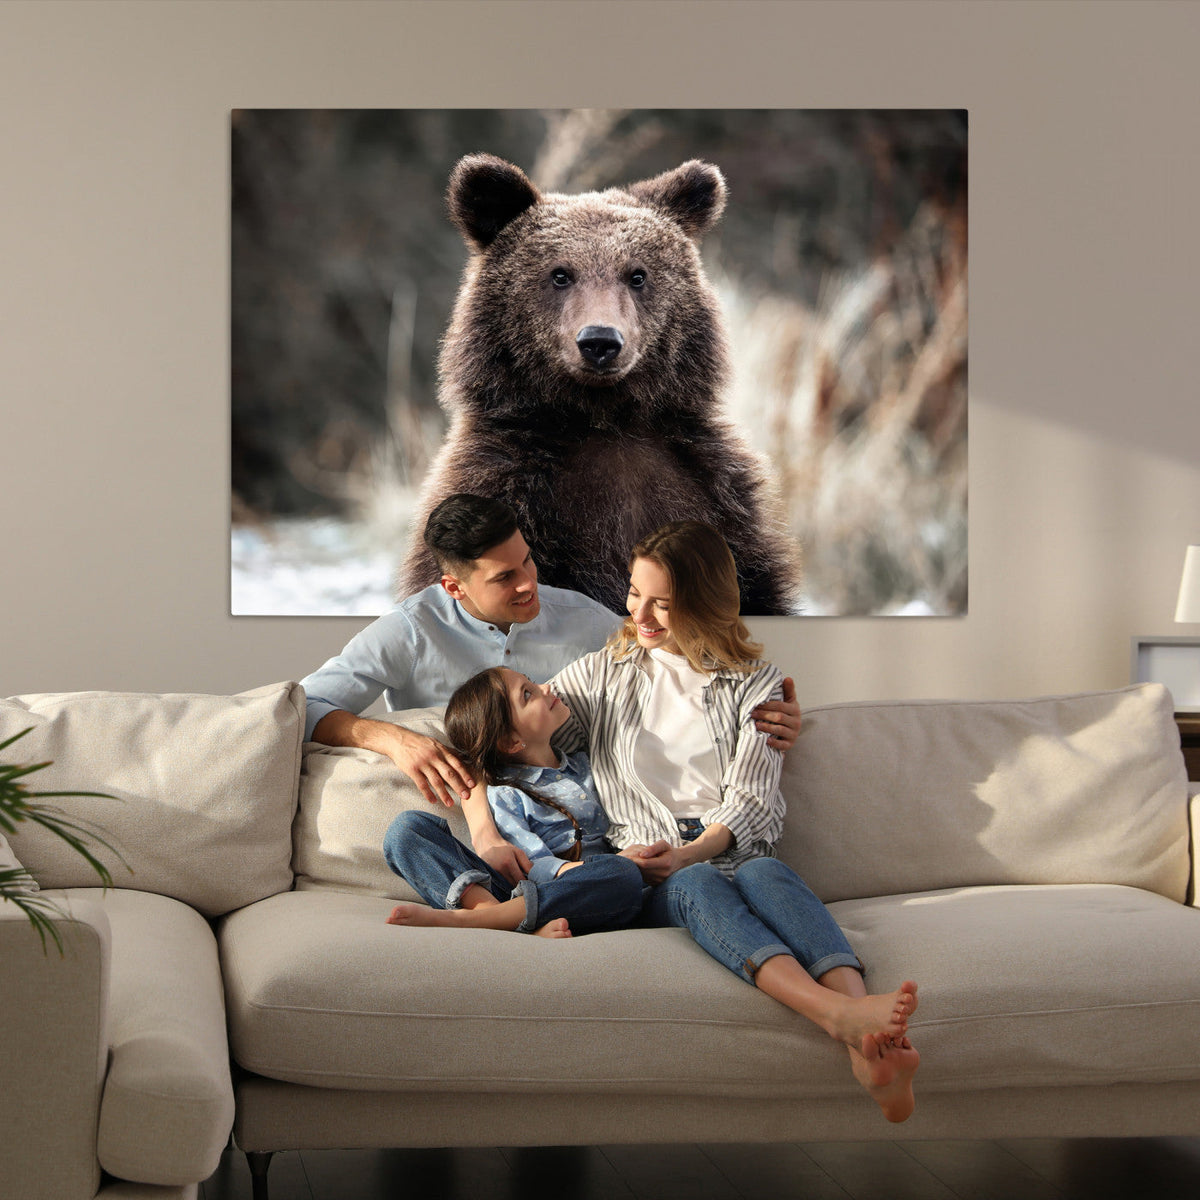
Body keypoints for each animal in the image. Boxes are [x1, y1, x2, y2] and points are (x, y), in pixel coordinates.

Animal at [399, 153, 801, 616]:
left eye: (637, 275)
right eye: (560, 274)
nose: (600, 341)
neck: (604, 419)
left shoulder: (716, 498)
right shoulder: (508, 488)